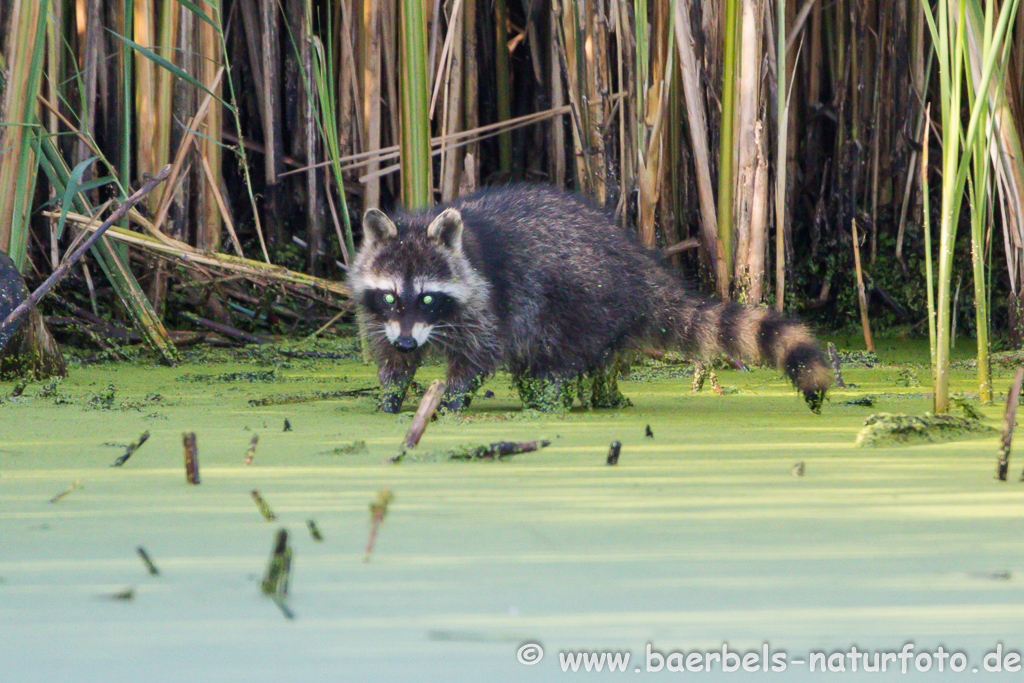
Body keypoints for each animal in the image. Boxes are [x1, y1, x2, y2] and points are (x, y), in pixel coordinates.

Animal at [352, 184, 831, 413]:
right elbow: (389, 357)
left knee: (557, 356)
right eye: (391, 298)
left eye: (428, 299)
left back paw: (550, 401)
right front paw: (392, 396)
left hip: (581, 299)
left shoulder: (487, 304)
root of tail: (639, 268)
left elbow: (476, 358)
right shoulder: (380, 316)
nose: (408, 343)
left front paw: (450, 400)